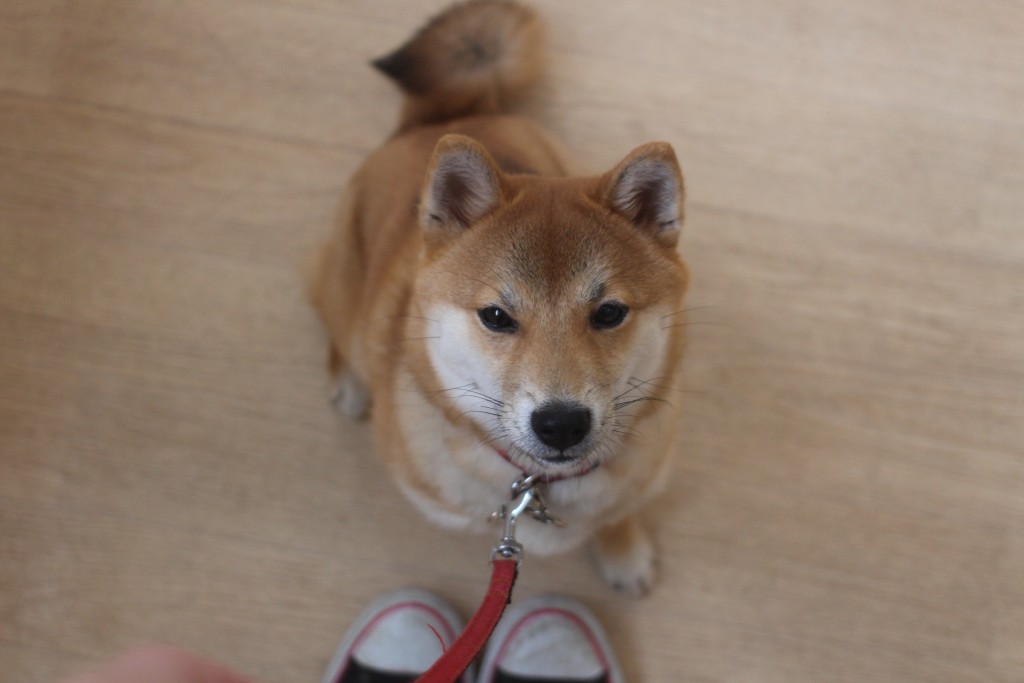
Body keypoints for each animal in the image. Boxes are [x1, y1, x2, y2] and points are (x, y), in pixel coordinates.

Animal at [307, 0, 692, 593]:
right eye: (495, 316)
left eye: (609, 313)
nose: (561, 423)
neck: (534, 489)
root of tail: (438, 118)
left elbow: (618, 511)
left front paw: (623, 550)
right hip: (345, 289)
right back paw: (350, 381)